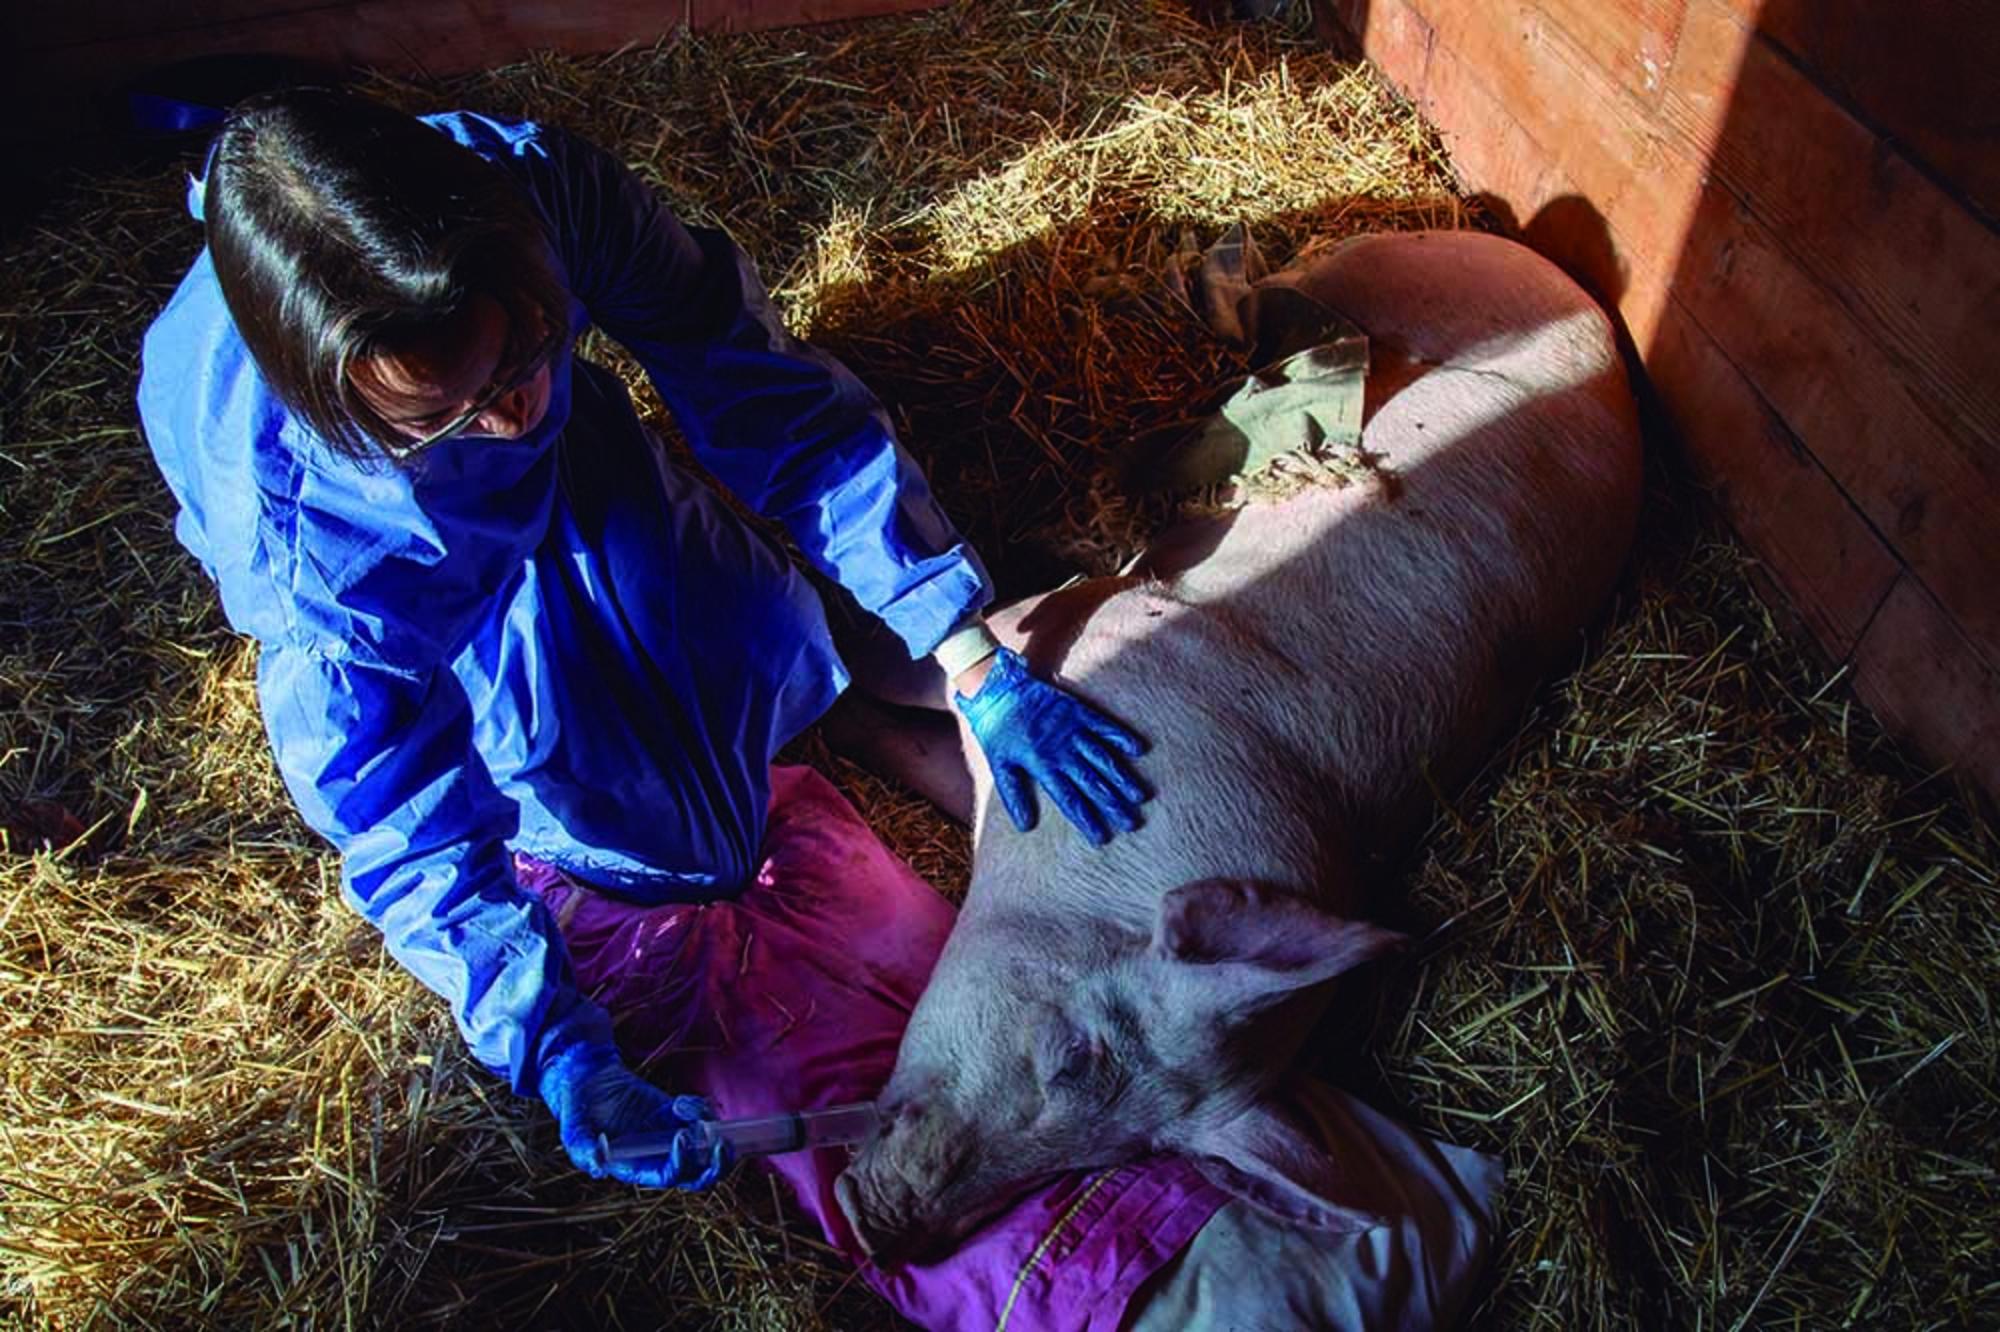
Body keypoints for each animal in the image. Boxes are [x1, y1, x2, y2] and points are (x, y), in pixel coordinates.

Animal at [832, 231, 1640, 1264]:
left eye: (1120, 1157)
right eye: (1073, 1056)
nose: (881, 1228)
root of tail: (1585, 301)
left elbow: (916, 736)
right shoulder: (1066, 633)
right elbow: (916, 667)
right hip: (1375, 278)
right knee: (1269, 307)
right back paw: (1213, 278)